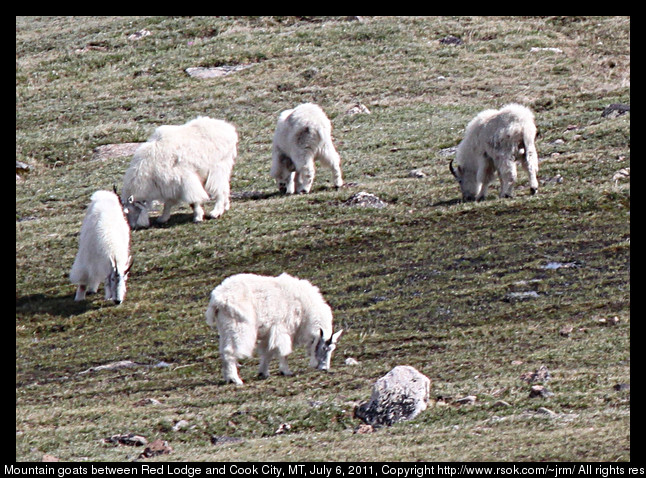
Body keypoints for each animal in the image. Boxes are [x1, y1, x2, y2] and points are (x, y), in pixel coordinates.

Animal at [208, 272, 344, 384]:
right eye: (324, 347)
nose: (324, 368)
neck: (304, 308)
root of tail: (218, 300)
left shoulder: (270, 333)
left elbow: (268, 352)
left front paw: (263, 373)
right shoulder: (282, 329)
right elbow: (282, 352)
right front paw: (286, 371)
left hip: (226, 329)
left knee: (224, 351)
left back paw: (228, 378)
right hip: (238, 327)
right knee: (230, 351)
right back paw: (235, 379)